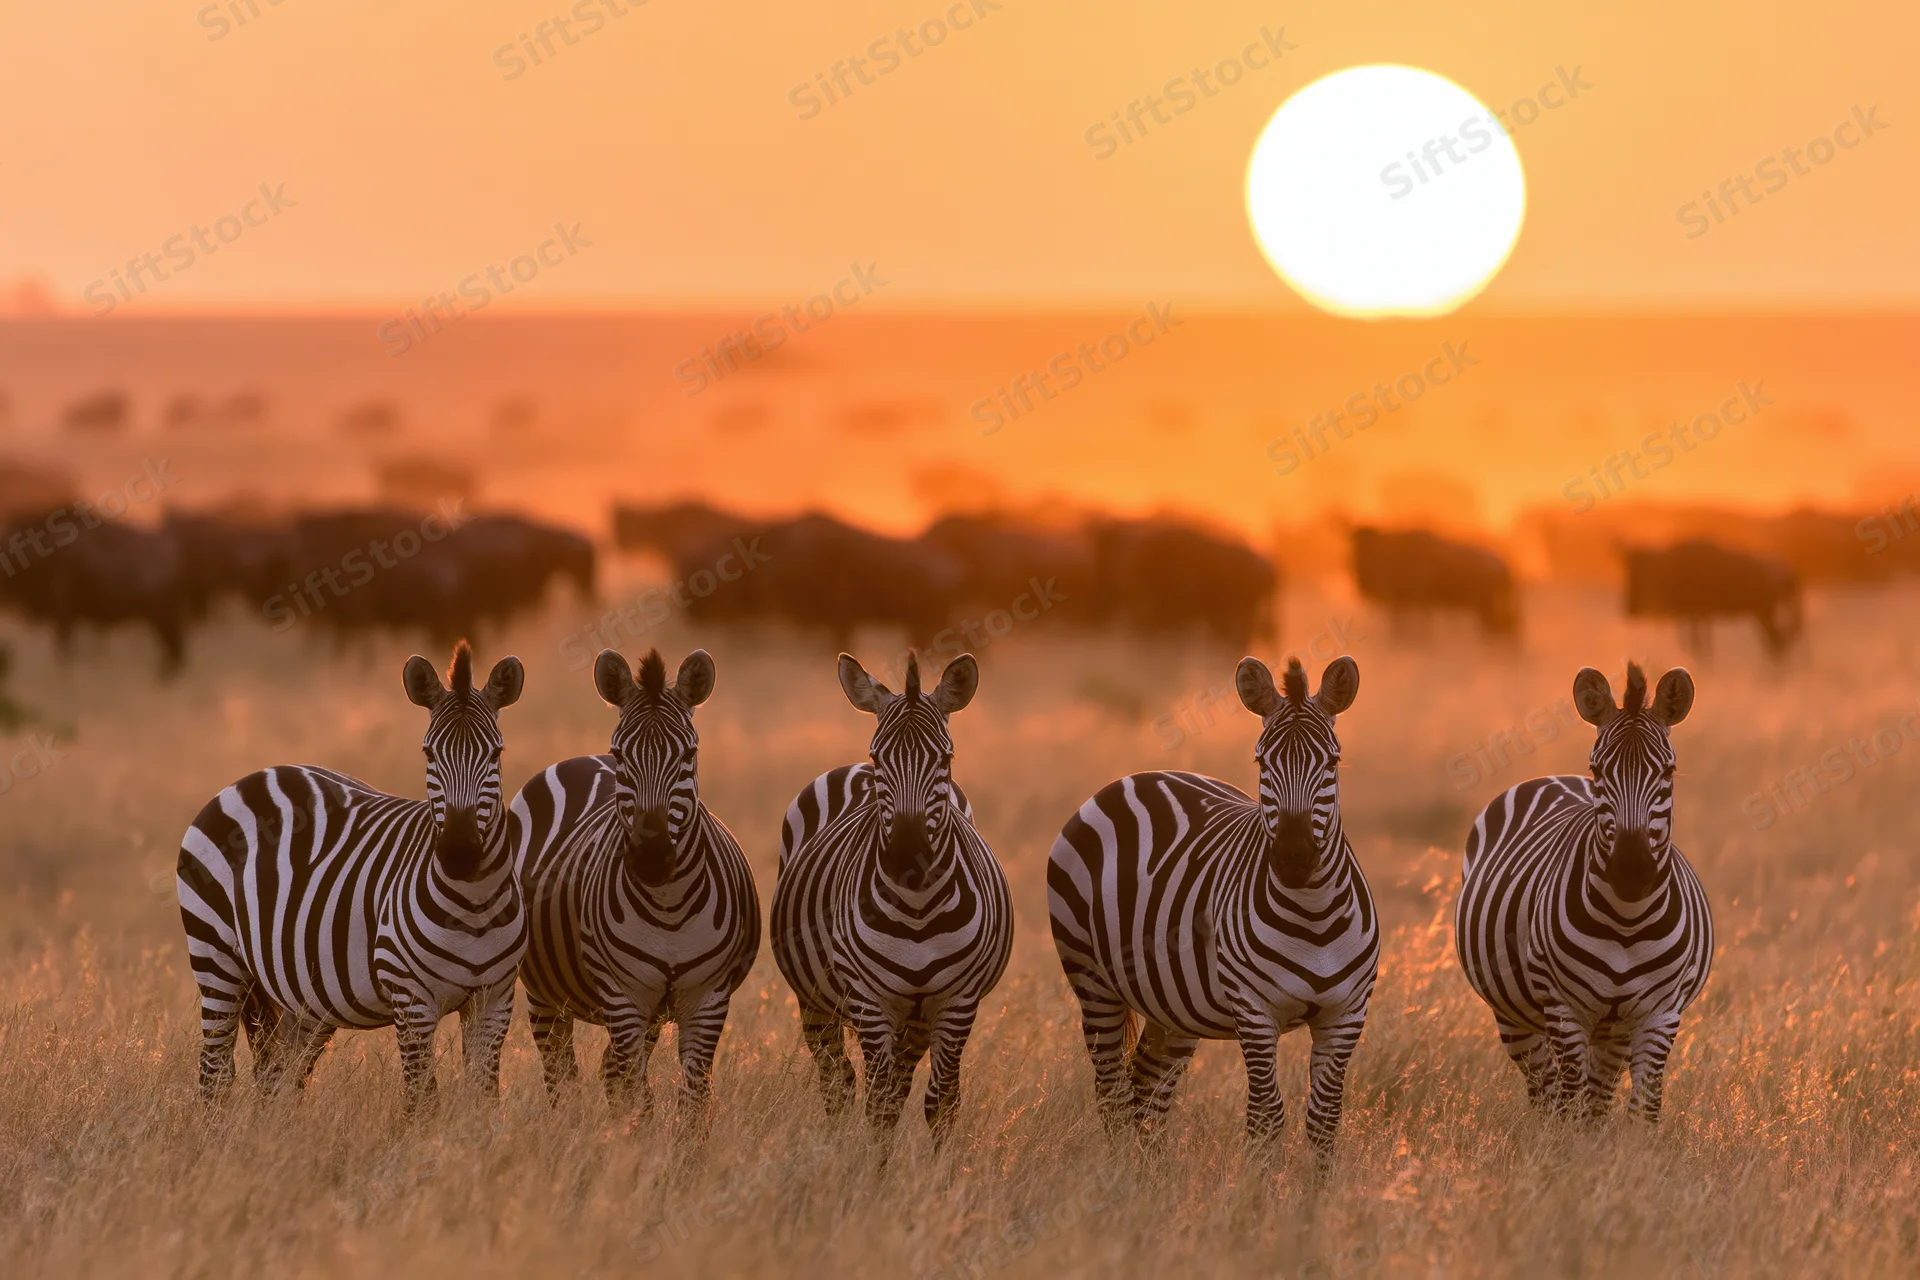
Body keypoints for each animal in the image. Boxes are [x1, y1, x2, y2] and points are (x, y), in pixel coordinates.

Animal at [176, 641, 527, 1110]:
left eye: (496, 754)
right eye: (428, 754)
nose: (459, 853)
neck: (474, 903)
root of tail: (254, 775)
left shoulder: (494, 1001)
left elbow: (484, 1098)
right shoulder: (411, 1000)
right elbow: (422, 1101)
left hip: (302, 993)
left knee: (278, 1076)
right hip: (215, 955)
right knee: (214, 1072)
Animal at [510, 648, 760, 1114]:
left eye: (689, 754)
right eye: (621, 754)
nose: (651, 857)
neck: (670, 905)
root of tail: (583, 758)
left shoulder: (708, 999)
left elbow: (693, 1098)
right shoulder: (623, 996)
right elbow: (637, 1097)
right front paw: (634, 1134)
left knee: (606, 1069)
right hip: (545, 993)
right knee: (562, 1072)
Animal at [771, 652, 1012, 1137]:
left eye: (945, 757)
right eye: (878, 755)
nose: (906, 857)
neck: (917, 908)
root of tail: (851, 770)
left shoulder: (957, 1002)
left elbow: (941, 1102)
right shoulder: (869, 1000)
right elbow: (878, 1101)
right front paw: (872, 1161)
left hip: (915, 1017)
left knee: (893, 1083)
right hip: (814, 1000)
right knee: (838, 1080)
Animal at [1047, 655, 1376, 1160]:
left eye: (1332, 762)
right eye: (1261, 762)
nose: (1294, 860)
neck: (1314, 915)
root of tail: (1137, 777)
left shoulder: (1345, 1016)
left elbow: (1324, 1122)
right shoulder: (1254, 1011)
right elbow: (1265, 1117)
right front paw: (1259, 1183)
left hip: (1173, 1004)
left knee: (1147, 1087)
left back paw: (1150, 1175)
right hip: (1092, 980)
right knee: (1112, 1091)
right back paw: (1118, 1172)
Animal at [1455, 663, 1711, 1122]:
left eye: (1668, 772)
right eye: (1597, 771)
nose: (1631, 870)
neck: (1627, 919)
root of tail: (1553, 777)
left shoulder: (1661, 1015)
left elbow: (1644, 1108)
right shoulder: (1564, 1009)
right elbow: (1569, 1102)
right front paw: (1565, 1144)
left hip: (1614, 1030)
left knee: (1596, 1095)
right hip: (1514, 1018)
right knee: (1548, 1091)